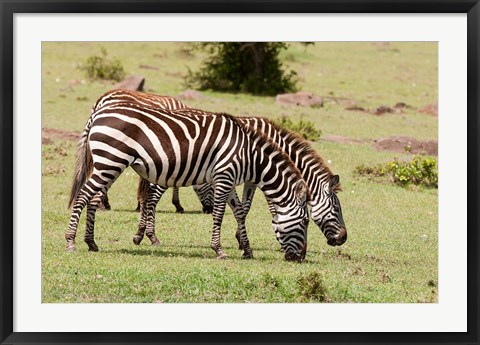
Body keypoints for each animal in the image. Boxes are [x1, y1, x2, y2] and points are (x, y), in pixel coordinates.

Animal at [65, 102, 310, 260]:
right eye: (306, 222)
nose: (300, 258)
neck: (249, 155)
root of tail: (98, 114)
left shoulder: (229, 179)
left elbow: (240, 212)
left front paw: (247, 249)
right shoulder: (224, 176)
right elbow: (219, 214)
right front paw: (219, 249)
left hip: (109, 164)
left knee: (93, 198)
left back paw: (91, 243)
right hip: (110, 160)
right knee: (83, 196)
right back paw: (71, 241)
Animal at [137, 115, 346, 247]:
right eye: (336, 209)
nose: (343, 239)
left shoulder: (253, 178)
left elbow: (244, 207)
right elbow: (264, 206)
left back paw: (140, 234)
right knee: (152, 197)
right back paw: (151, 236)